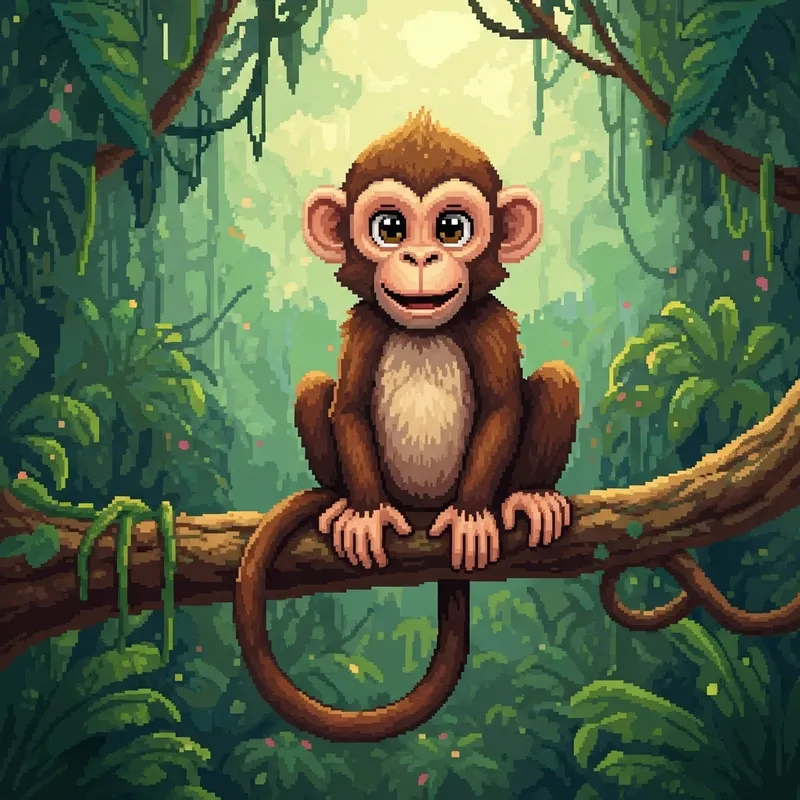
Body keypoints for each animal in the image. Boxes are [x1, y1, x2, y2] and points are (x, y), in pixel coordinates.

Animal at [233, 109, 580, 743]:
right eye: (390, 228)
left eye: (451, 228)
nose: (420, 259)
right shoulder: (365, 323)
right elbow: (345, 406)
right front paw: (366, 515)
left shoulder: (488, 321)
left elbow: (504, 407)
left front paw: (472, 517)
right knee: (313, 388)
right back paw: (338, 501)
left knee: (559, 380)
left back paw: (529, 496)